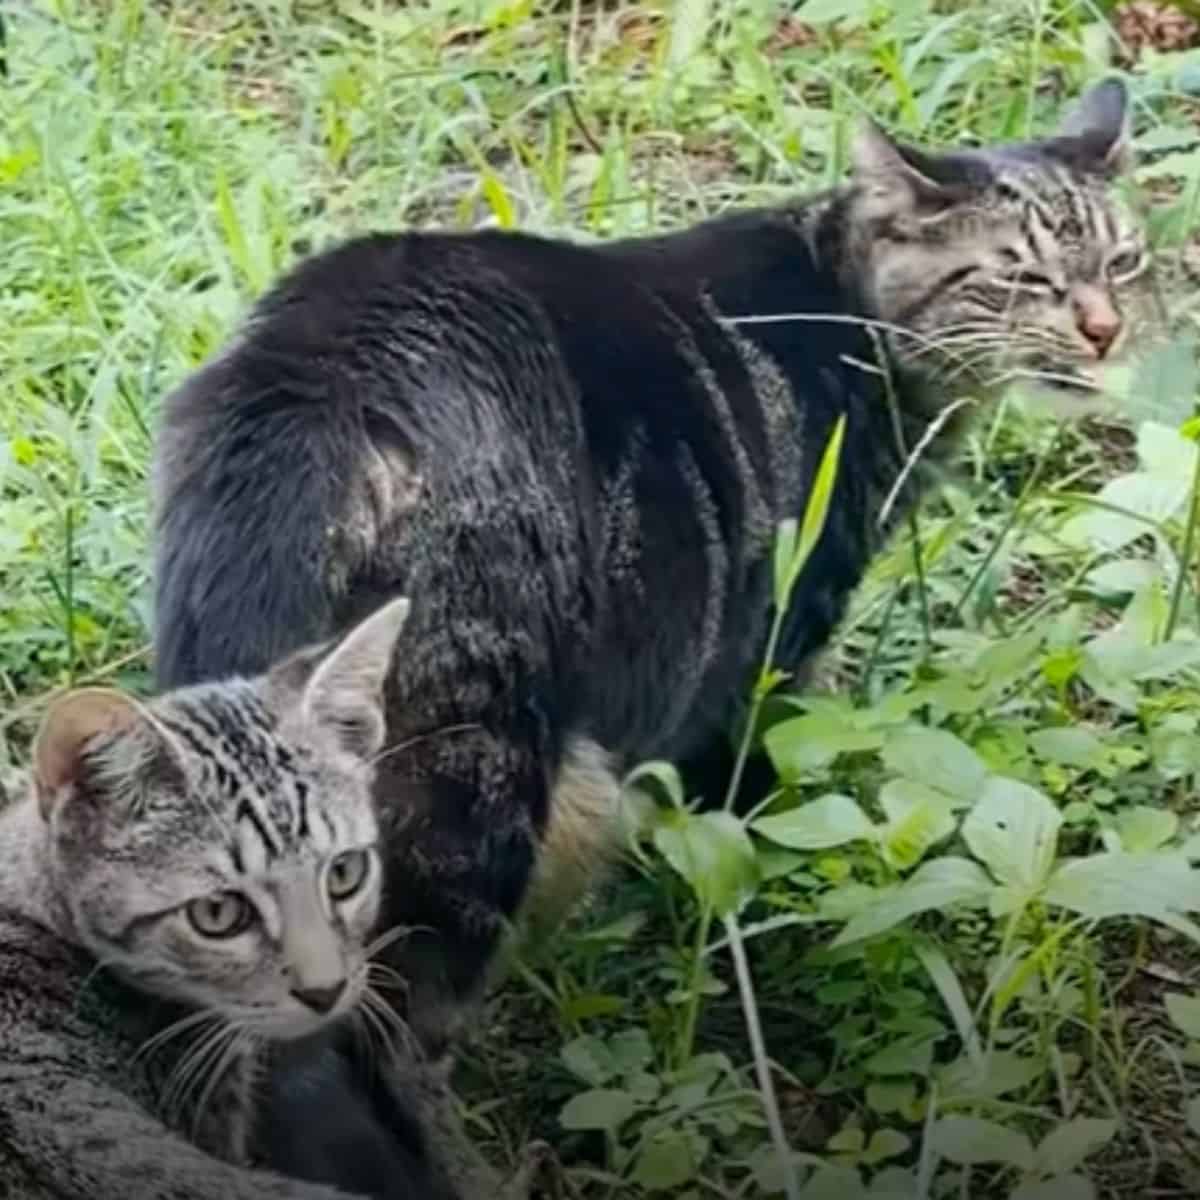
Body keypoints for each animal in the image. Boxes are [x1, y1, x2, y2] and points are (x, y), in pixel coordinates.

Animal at [154, 82, 1147, 1180]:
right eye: (1022, 275)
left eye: (1123, 261)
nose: (1104, 329)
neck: (852, 309)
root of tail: (326, 382)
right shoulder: (769, 651)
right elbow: (758, 820)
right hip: (472, 788)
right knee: (383, 1032)